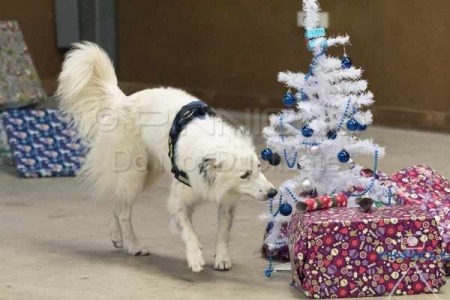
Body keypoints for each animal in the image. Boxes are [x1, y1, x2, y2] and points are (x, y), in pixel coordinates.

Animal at [56, 42, 274, 272]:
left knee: (119, 202)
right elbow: (187, 229)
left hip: (147, 175)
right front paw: (195, 255)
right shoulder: (178, 199)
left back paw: (116, 236)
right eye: (244, 175)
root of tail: (123, 100)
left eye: (259, 168)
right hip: (135, 173)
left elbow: (223, 230)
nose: (273, 192)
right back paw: (134, 245)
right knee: (124, 212)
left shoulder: (227, 200)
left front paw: (222, 258)